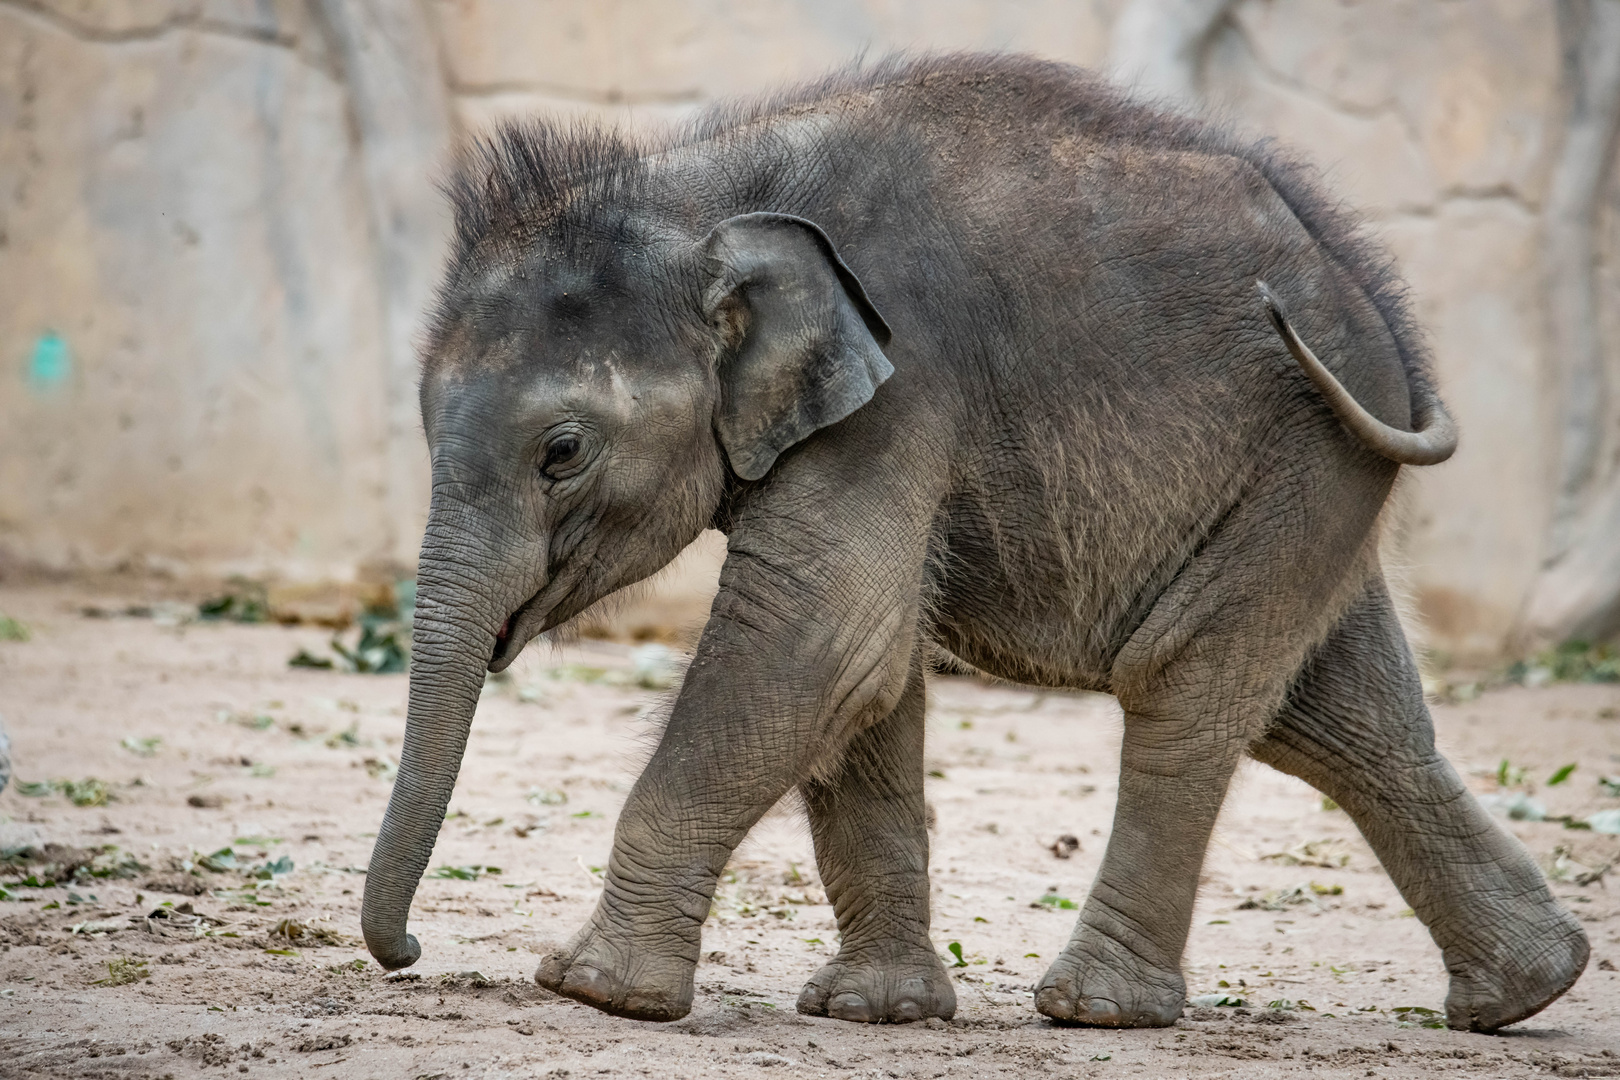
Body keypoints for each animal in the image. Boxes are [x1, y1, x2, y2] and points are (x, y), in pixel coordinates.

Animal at [361, 55, 1587, 1036]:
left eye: (561, 452)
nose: (410, 954)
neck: (698, 188)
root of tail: (1377, 305)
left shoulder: (903, 394)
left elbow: (821, 639)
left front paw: (593, 990)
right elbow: (866, 672)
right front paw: (876, 1012)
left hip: (1305, 450)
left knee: (1185, 681)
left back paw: (1095, 1010)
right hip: (1315, 471)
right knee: (1335, 714)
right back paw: (1528, 992)